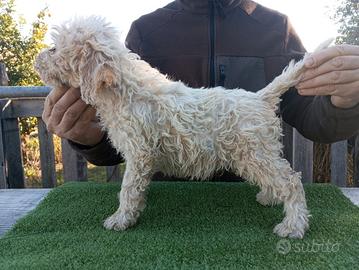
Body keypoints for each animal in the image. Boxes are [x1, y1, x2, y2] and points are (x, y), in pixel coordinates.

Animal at [35, 16, 330, 238]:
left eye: (54, 49)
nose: (37, 59)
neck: (124, 91)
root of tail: (261, 97)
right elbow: (135, 189)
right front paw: (132, 212)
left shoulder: (139, 154)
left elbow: (127, 189)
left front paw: (121, 219)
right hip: (253, 156)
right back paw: (269, 197)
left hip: (257, 153)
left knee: (291, 182)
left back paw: (293, 226)